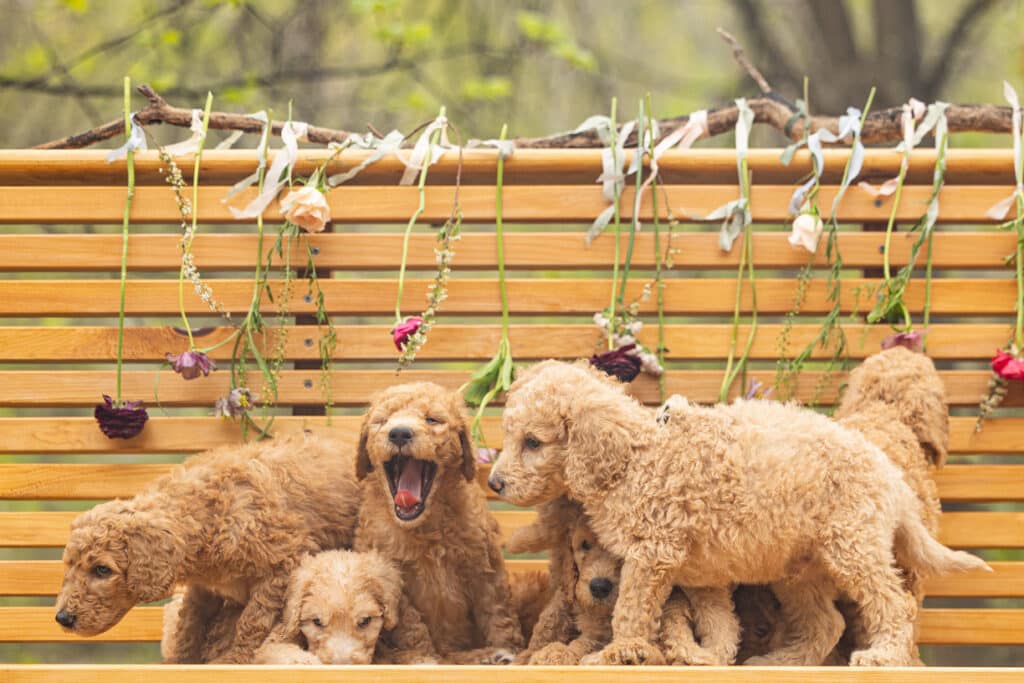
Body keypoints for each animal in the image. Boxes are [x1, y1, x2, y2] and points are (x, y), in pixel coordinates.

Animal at [56, 436, 362, 663]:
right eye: (69, 565)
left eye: (102, 570)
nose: (62, 618)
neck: (212, 514)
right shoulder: (204, 588)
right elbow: (189, 624)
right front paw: (180, 662)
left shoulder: (282, 566)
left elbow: (252, 622)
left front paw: (234, 659)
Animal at [354, 382, 528, 663]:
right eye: (383, 420)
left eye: (432, 420)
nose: (399, 433)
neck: (426, 528)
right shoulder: (394, 583)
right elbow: (413, 627)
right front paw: (423, 658)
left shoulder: (484, 566)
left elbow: (498, 613)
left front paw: (509, 649)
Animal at [491, 362, 987, 667]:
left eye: (532, 442)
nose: (494, 483)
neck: (636, 455)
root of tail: (890, 474)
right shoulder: (702, 574)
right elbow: (720, 624)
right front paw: (707, 657)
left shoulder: (652, 554)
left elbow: (630, 610)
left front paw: (618, 652)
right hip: (799, 571)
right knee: (827, 623)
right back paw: (781, 662)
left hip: (853, 545)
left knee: (893, 603)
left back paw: (882, 656)